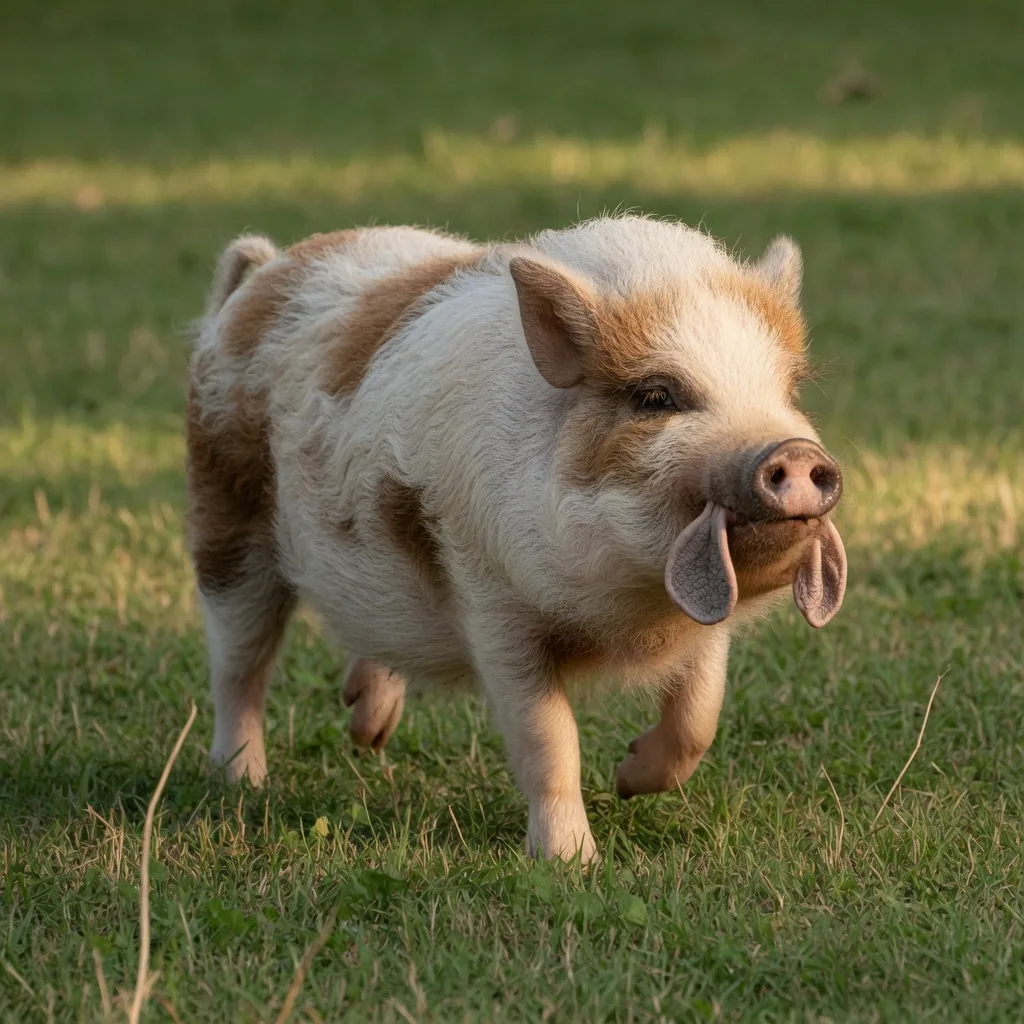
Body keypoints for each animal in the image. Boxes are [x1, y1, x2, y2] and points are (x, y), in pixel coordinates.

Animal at [186, 216, 846, 864]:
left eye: (787, 390)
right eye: (656, 397)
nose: (795, 451)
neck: (630, 610)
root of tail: (264, 271)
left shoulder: (700, 623)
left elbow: (700, 712)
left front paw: (628, 782)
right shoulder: (493, 601)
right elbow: (547, 737)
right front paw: (571, 863)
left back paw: (366, 737)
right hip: (225, 516)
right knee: (238, 664)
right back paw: (242, 782)